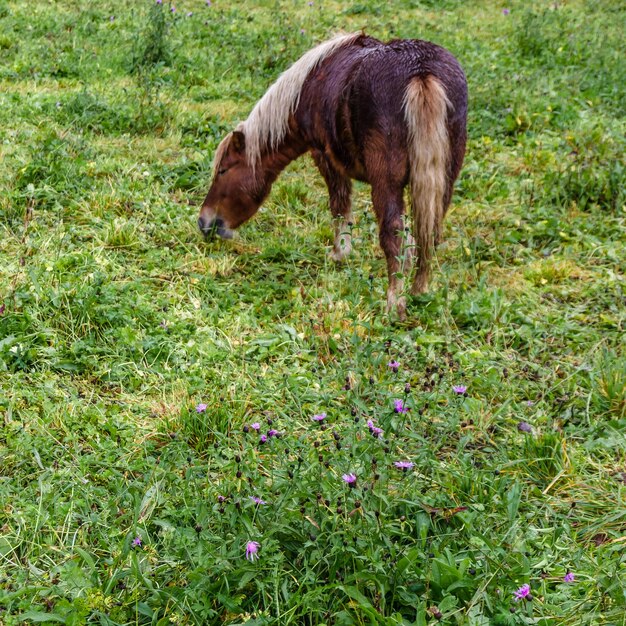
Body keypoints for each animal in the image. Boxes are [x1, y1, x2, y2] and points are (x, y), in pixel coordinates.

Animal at [197, 32, 466, 320]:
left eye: (223, 170)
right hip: (443, 181)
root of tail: (420, 72)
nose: (204, 222)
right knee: (429, 235)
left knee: (395, 238)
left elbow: (339, 206)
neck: (308, 86)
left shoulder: (325, 157)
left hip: (386, 184)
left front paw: (340, 253)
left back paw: (394, 305)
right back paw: (419, 292)